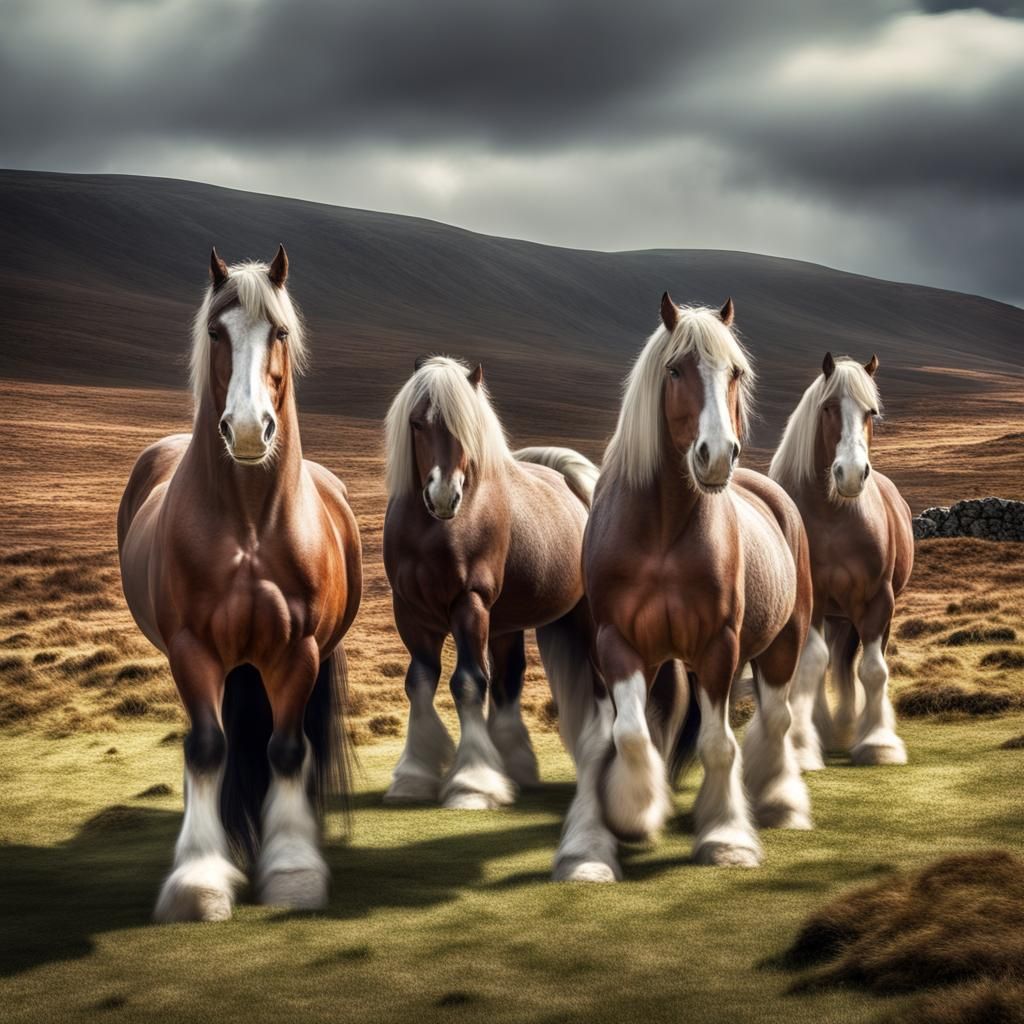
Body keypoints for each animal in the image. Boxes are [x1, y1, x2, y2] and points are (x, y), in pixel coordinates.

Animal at [117, 246, 361, 921]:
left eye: (279, 331)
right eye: (214, 331)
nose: (250, 430)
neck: (251, 525)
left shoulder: (297, 651)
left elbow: (286, 749)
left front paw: (293, 869)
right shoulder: (192, 648)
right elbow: (207, 748)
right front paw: (199, 880)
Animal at [381, 356, 614, 872]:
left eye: (467, 429)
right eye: (417, 423)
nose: (444, 496)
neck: (433, 532)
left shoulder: (469, 604)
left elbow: (468, 683)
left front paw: (472, 785)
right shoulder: (410, 614)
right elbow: (420, 683)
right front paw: (413, 776)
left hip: (584, 623)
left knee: (602, 686)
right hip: (507, 623)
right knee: (509, 679)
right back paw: (518, 766)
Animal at [581, 294, 814, 871]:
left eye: (735, 372)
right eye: (674, 370)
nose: (716, 455)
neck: (662, 530)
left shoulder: (717, 646)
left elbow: (718, 744)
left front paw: (726, 837)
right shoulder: (618, 642)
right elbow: (632, 733)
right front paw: (633, 814)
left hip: (783, 643)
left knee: (776, 719)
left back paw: (776, 800)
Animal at [770, 353, 913, 769]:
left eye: (871, 412)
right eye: (828, 408)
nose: (850, 474)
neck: (834, 516)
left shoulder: (878, 600)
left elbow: (873, 670)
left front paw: (878, 743)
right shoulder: (814, 600)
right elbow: (811, 667)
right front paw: (803, 747)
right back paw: (829, 730)